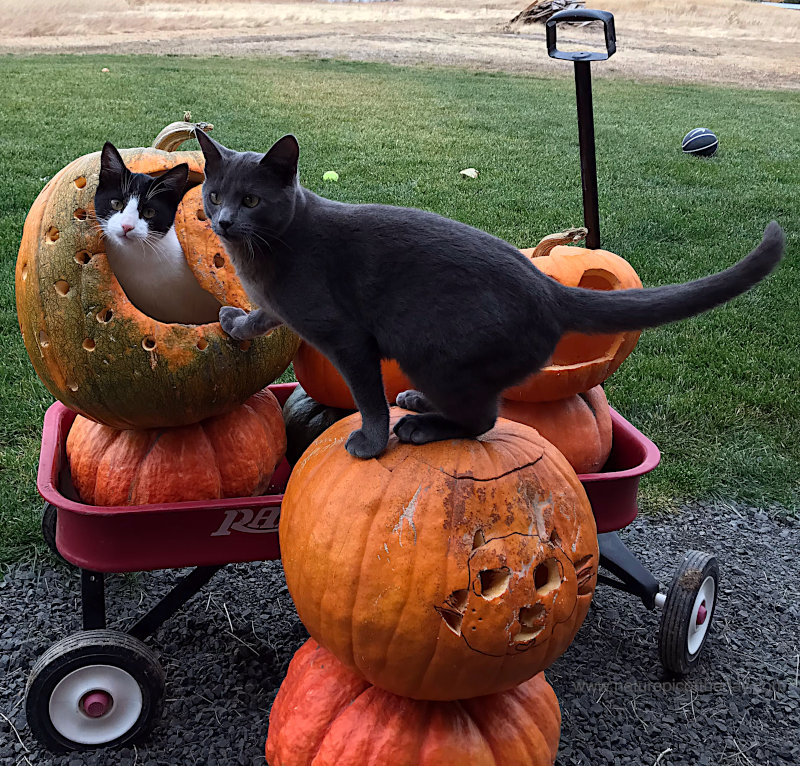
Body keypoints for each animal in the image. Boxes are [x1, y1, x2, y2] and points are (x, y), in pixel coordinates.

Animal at [195, 130, 788, 462]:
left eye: (251, 200)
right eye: (214, 193)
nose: (222, 222)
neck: (266, 253)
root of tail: (549, 288)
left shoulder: (349, 341)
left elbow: (366, 398)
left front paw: (371, 442)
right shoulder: (277, 307)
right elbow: (259, 318)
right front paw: (231, 322)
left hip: (433, 349)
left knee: (483, 419)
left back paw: (418, 425)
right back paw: (418, 404)